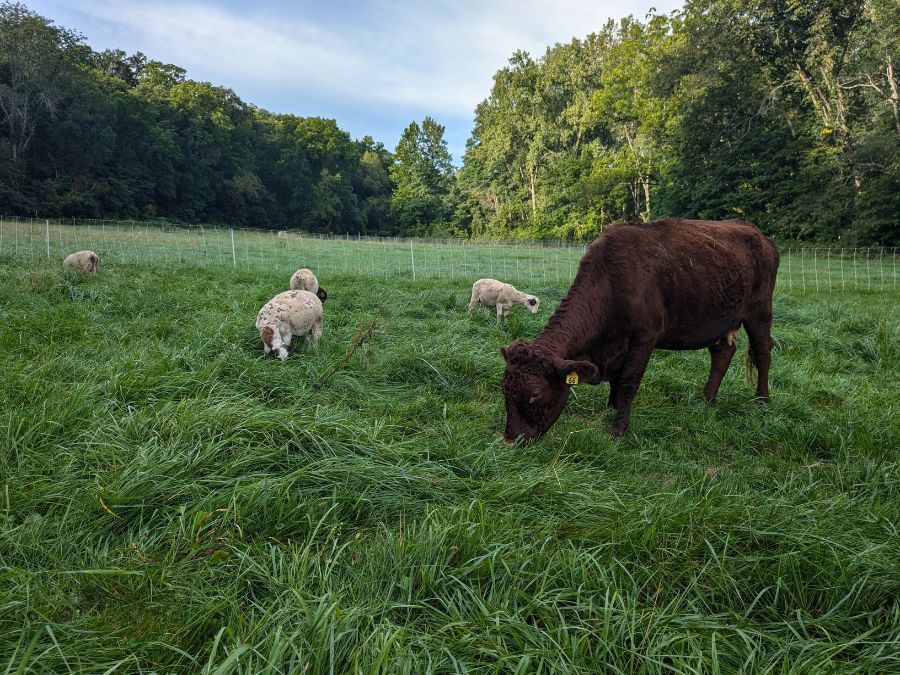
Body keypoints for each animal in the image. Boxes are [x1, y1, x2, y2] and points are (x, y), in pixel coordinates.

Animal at [501, 218, 779, 441]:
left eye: (535, 393)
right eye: (504, 389)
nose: (511, 440)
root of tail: (758, 233)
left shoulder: (644, 337)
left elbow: (628, 381)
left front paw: (619, 428)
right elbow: (616, 381)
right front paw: (612, 408)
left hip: (759, 311)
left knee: (763, 352)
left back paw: (762, 400)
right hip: (719, 317)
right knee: (722, 354)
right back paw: (706, 399)